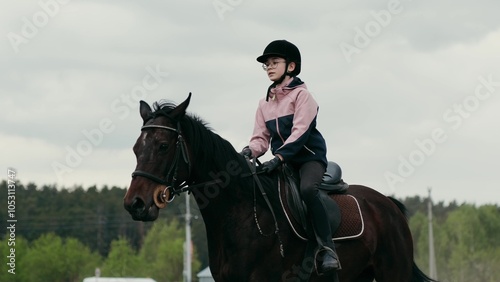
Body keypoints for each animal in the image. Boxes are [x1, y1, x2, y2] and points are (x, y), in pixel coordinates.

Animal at [123, 94, 436, 282]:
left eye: (163, 146)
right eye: (136, 148)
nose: (135, 204)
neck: (241, 213)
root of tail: (388, 204)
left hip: (392, 274)